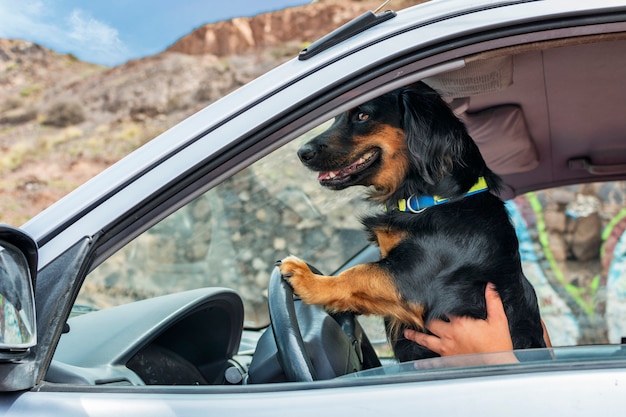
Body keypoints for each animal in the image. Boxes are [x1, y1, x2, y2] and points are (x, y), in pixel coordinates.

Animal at [280, 81, 544, 360]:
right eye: (336, 118)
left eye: (362, 115)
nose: (302, 153)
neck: (438, 200)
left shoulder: (410, 281)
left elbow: (357, 273)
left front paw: (308, 279)